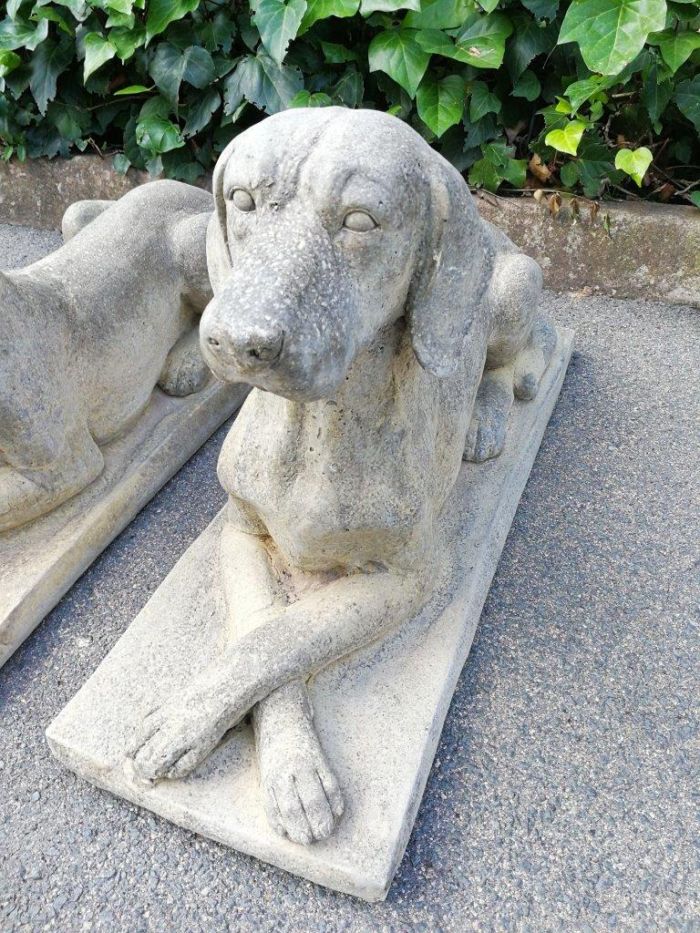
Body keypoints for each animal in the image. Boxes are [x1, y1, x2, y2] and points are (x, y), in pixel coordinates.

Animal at [130, 107, 556, 844]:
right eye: (242, 200)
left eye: (360, 220)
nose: (236, 340)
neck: (316, 432)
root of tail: (496, 225)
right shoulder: (240, 534)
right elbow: (260, 634)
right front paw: (277, 757)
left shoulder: (411, 577)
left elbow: (284, 638)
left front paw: (215, 732)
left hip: (504, 292)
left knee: (507, 354)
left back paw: (486, 416)